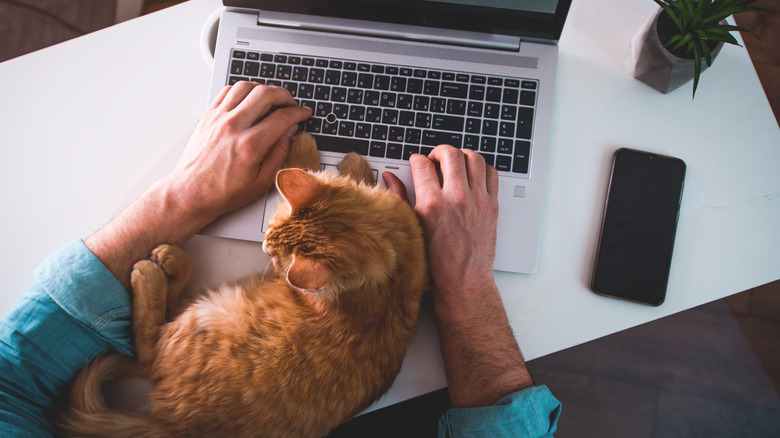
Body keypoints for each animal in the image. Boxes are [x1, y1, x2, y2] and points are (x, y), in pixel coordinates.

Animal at [59, 134, 426, 438]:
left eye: (276, 256)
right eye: (271, 229)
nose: (263, 246)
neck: (391, 271)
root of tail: (173, 425)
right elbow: (337, 172)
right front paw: (348, 160)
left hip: (209, 315)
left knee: (148, 345)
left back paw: (155, 270)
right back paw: (171, 260)